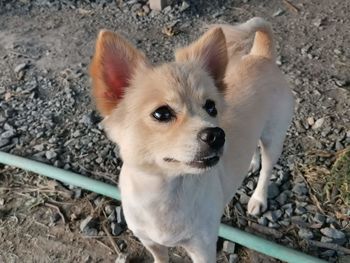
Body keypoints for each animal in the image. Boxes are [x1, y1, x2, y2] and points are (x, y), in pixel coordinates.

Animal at [89, 17, 292, 262]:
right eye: (161, 113)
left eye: (211, 107)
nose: (217, 134)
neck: (167, 191)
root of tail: (261, 55)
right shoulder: (151, 242)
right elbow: (160, 258)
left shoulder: (202, 249)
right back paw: (251, 163)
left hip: (274, 138)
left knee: (267, 169)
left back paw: (258, 199)